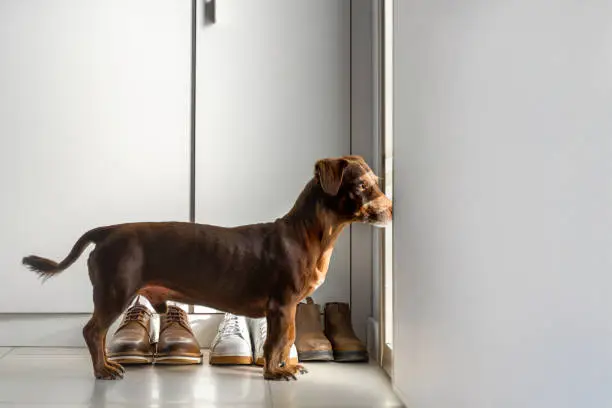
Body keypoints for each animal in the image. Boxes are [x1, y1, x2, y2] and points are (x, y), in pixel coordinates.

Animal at [22, 155, 392, 380]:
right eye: (361, 185)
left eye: (376, 180)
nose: (391, 209)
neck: (306, 234)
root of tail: (107, 230)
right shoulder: (282, 304)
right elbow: (276, 341)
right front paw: (275, 372)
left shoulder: (290, 309)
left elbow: (287, 338)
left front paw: (288, 365)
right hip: (115, 291)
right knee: (93, 332)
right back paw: (103, 370)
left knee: (97, 333)